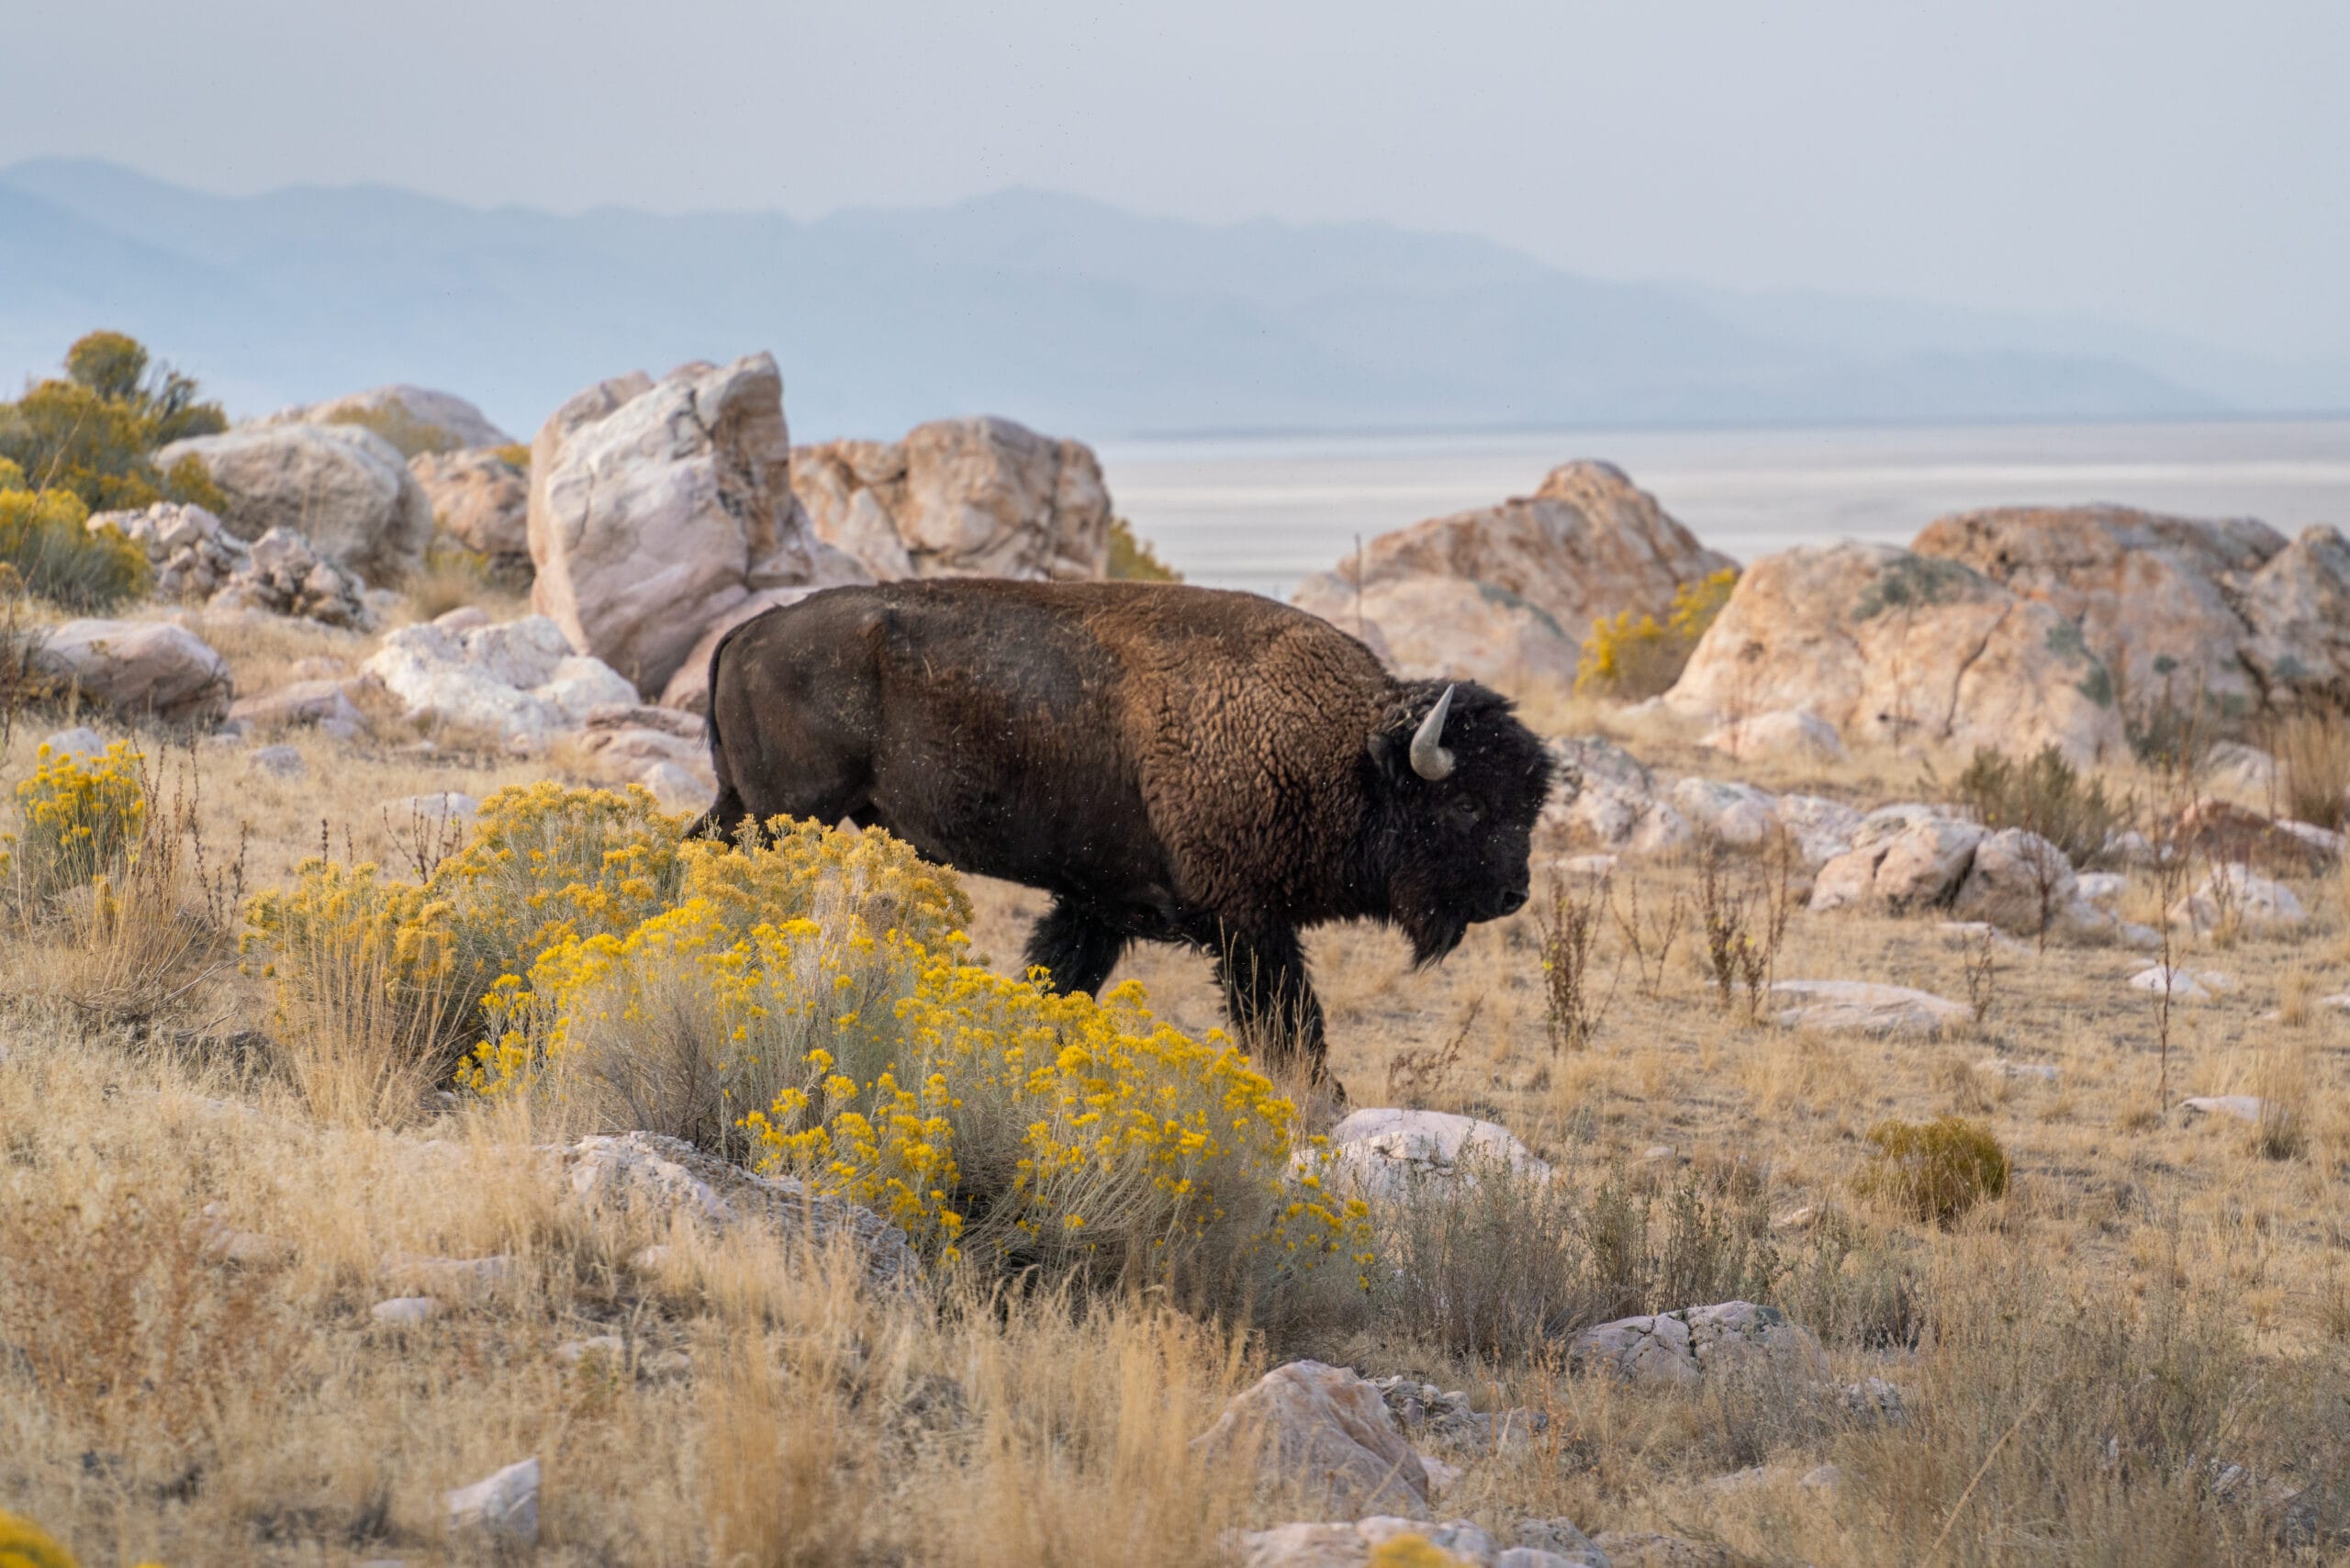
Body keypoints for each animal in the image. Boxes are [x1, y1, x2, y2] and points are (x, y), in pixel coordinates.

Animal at [692, 580, 1552, 1088]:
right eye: (1466, 807)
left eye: (1529, 803)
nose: (1514, 894)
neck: (1342, 749)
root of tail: (749, 632)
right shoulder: (1247, 925)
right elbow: (1289, 1026)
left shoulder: (1098, 907)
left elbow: (1058, 979)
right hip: (787, 814)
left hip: (741, 805)